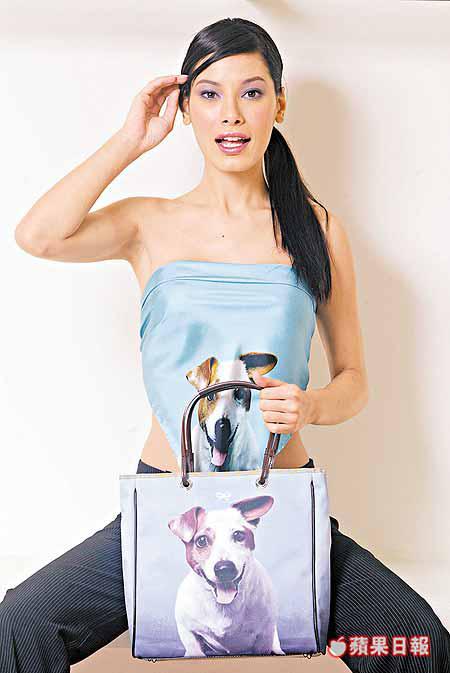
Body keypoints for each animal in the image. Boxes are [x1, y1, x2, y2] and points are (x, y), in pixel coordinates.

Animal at [168, 493, 286, 657]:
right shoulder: (189, 632)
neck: (224, 605)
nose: (224, 568)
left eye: (238, 535)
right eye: (201, 540)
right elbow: (195, 649)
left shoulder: (264, 635)